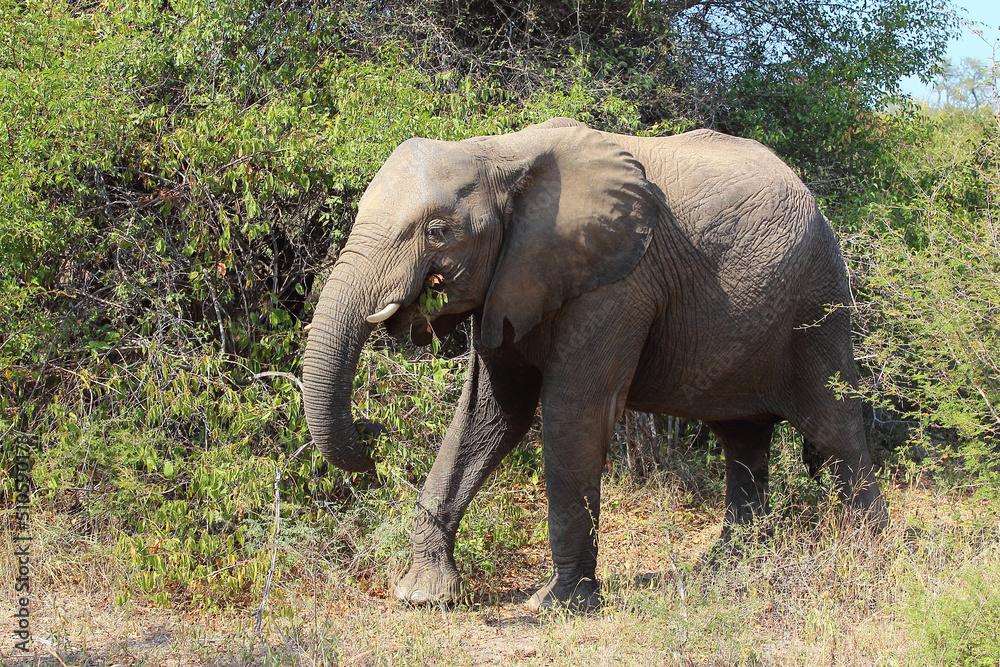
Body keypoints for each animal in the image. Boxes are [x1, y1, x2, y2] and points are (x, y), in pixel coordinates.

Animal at [300, 118, 888, 612]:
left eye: (437, 231)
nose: (372, 433)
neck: (500, 153)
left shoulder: (618, 282)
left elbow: (571, 414)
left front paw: (557, 605)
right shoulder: (512, 279)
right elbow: (489, 416)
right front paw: (422, 596)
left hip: (817, 300)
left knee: (834, 426)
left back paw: (867, 559)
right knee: (743, 440)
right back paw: (728, 568)